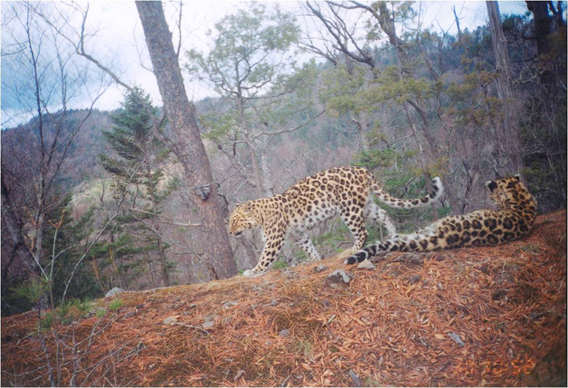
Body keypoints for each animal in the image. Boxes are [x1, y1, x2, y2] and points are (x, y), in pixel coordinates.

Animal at [227, 167, 444, 276]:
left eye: (235, 220)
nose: (229, 232)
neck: (260, 216)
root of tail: (362, 169)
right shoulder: (298, 234)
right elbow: (308, 246)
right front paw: (313, 259)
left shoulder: (274, 239)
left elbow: (265, 257)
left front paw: (254, 270)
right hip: (366, 205)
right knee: (383, 213)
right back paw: (393, 235)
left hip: (349, 208)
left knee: (363, 232)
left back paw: (351, 249)